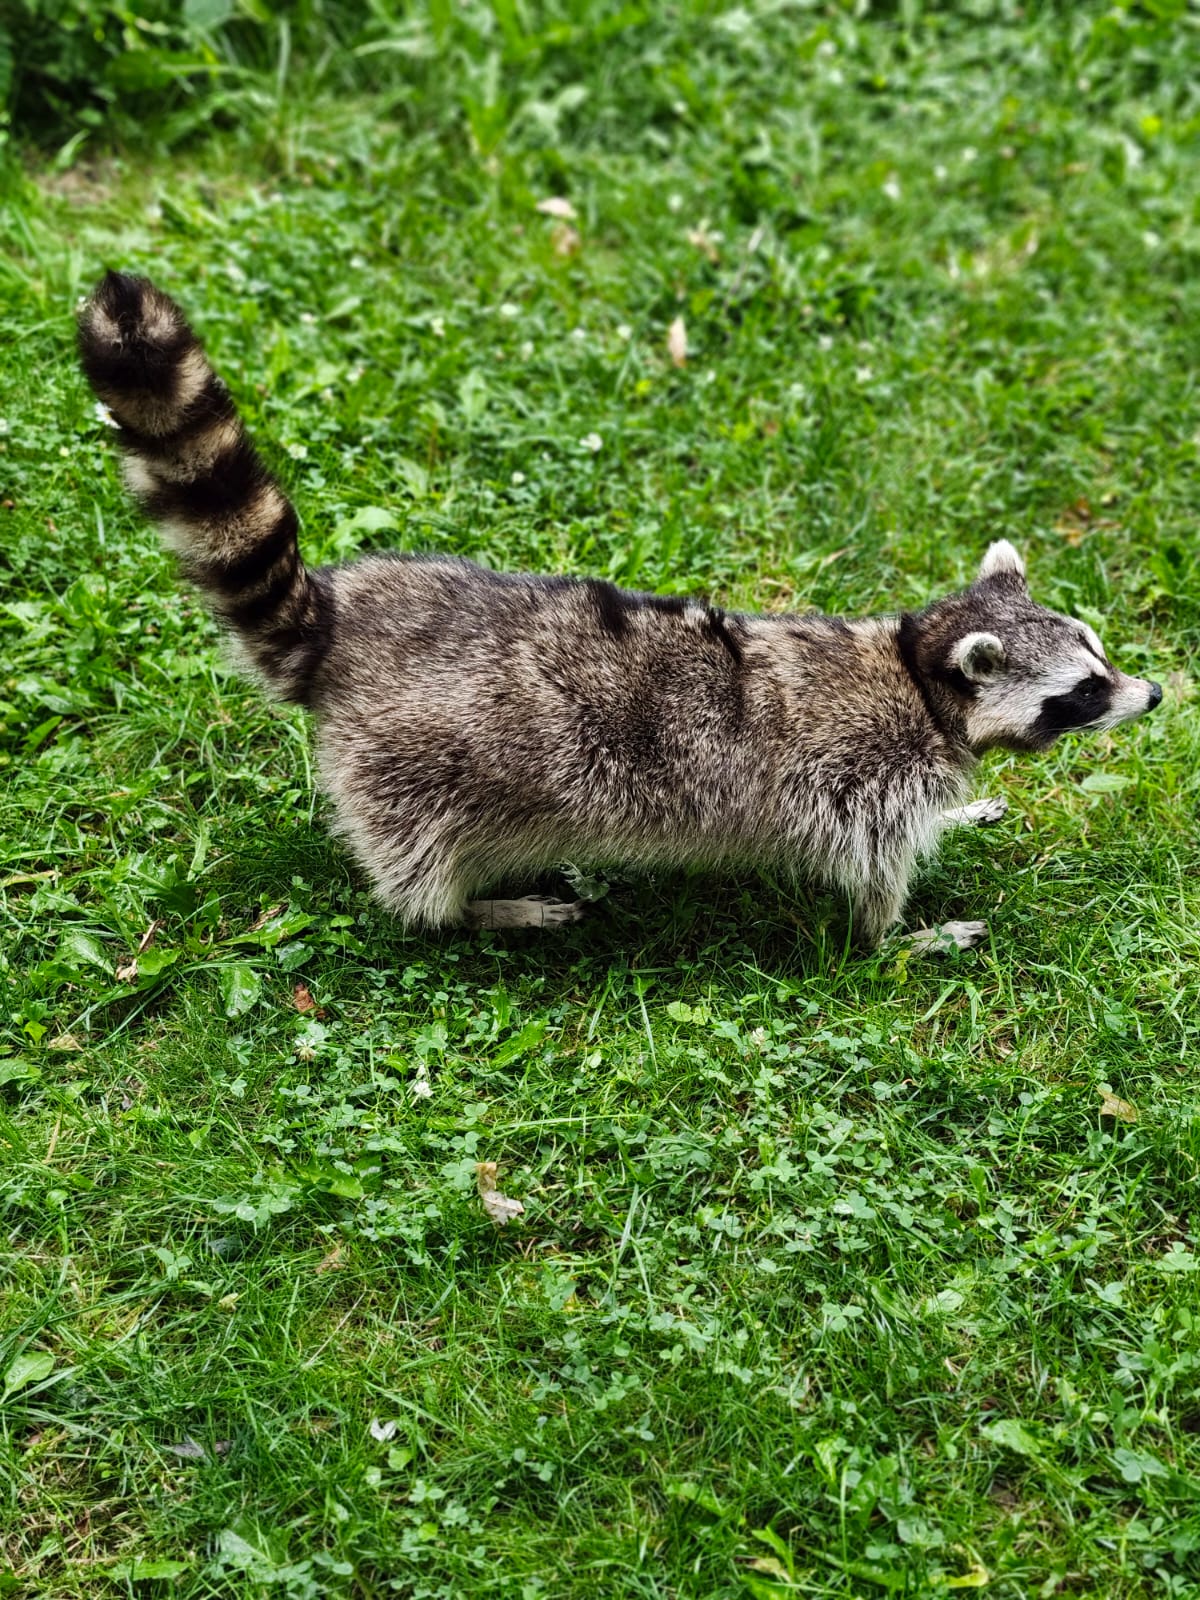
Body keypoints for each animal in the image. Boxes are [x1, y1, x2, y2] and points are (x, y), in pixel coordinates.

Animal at [77, 272, 1162, 952]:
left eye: (1100, 653)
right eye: (1084, 689)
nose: (1152, 694)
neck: (918, 671)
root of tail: (348, 629)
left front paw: (965, 811)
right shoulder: (863, 782)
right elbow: (869, 883)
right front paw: (899, 936)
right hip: (412, 774)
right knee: (420, 881)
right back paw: (477, 911)